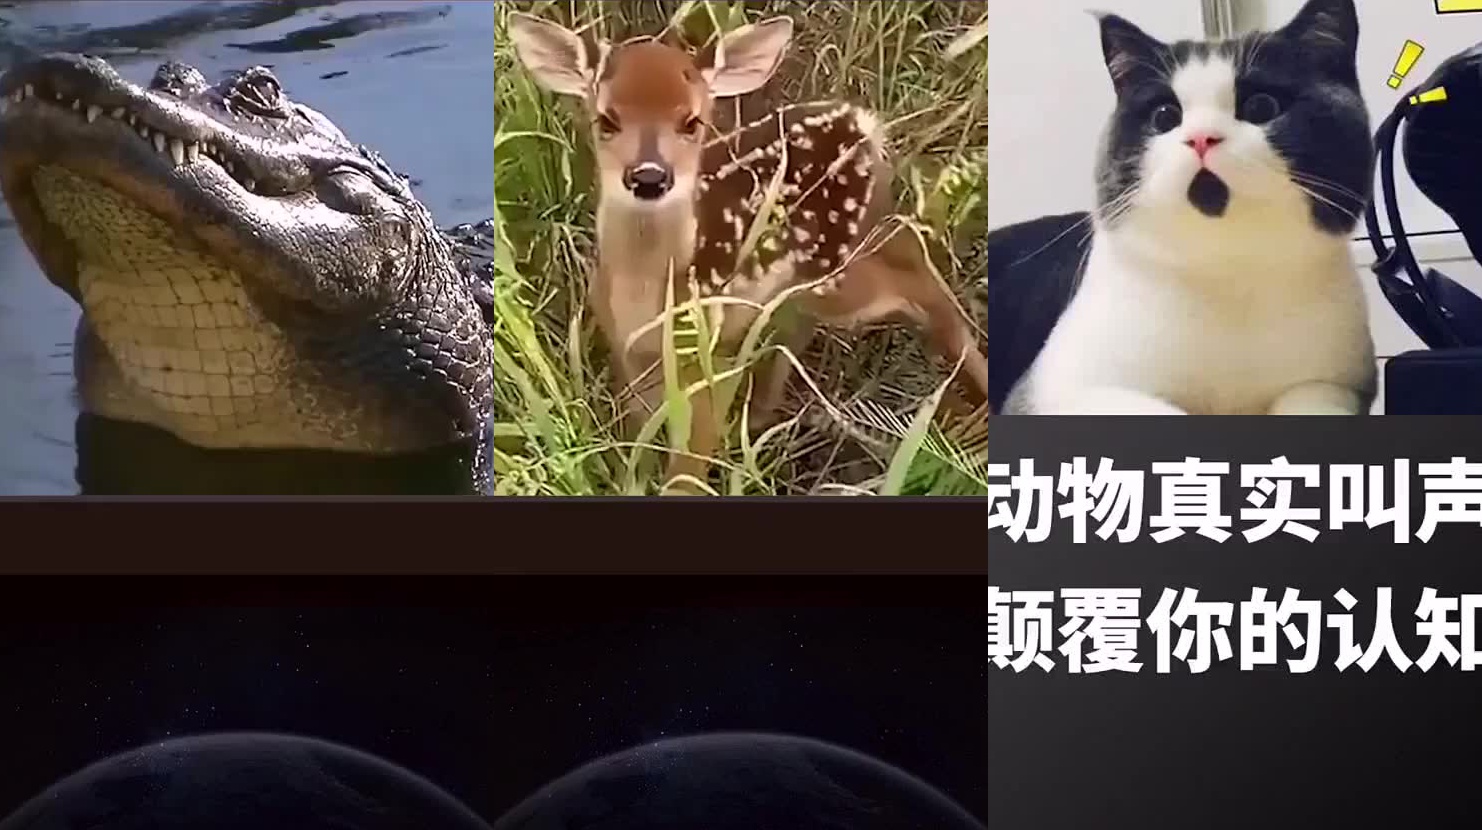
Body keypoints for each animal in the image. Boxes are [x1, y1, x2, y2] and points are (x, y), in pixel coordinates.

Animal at [507, 11, 989, 489]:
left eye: (691, 121)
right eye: (606, 119)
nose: (649, 177)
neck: (645, 296)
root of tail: (862, 121)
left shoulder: (707, 358)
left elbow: (687, 469)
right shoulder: (629, 355)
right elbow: (637, 448)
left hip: (840, 268)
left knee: (915, 267)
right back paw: (761, 421)